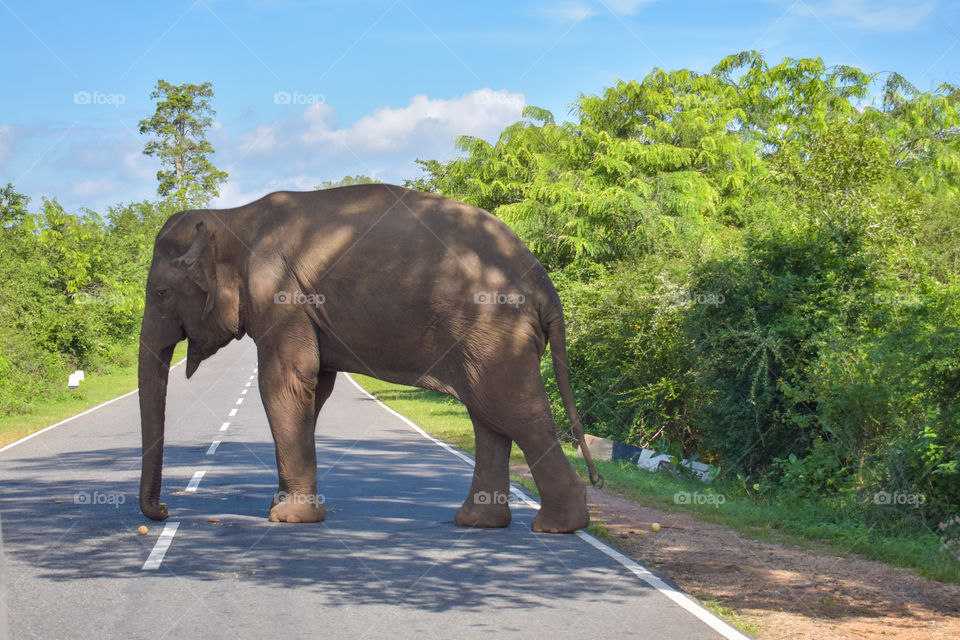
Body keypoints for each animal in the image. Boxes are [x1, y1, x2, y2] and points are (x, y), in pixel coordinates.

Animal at [137, 186, 600, 536]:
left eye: (160, 293)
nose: (165, 512)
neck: (232, 217)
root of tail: (544, 283)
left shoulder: (280, 295)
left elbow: (285, 382)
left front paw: (287, 517)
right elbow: (315, 387)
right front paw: (282, 504)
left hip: (494, 327)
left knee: (512, 410)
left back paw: (557, 526)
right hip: (486, 337)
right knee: (488, 414)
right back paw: (478, 522)